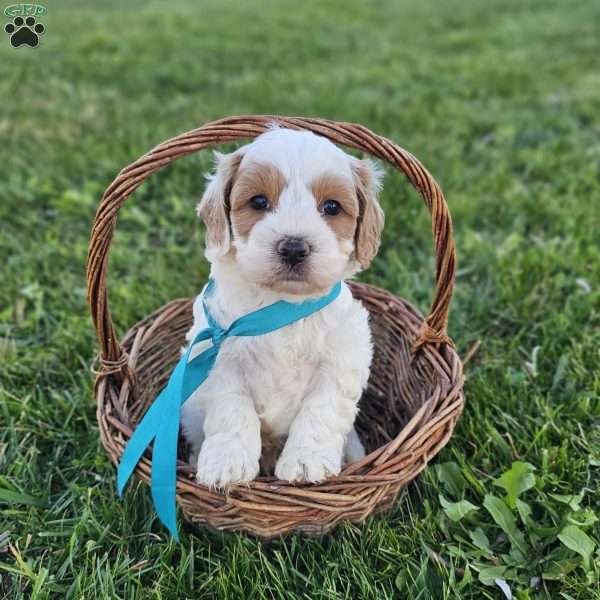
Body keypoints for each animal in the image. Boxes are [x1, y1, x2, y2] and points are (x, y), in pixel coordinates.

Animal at [180, 126, 384, 488]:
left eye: (332, 207)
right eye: (259, 202)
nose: (293, 247)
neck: (281, 303)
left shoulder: (341, 359)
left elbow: (320, 410)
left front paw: (306, 463)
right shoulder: (218, 358)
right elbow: (232, 410)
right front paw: (226, 463)